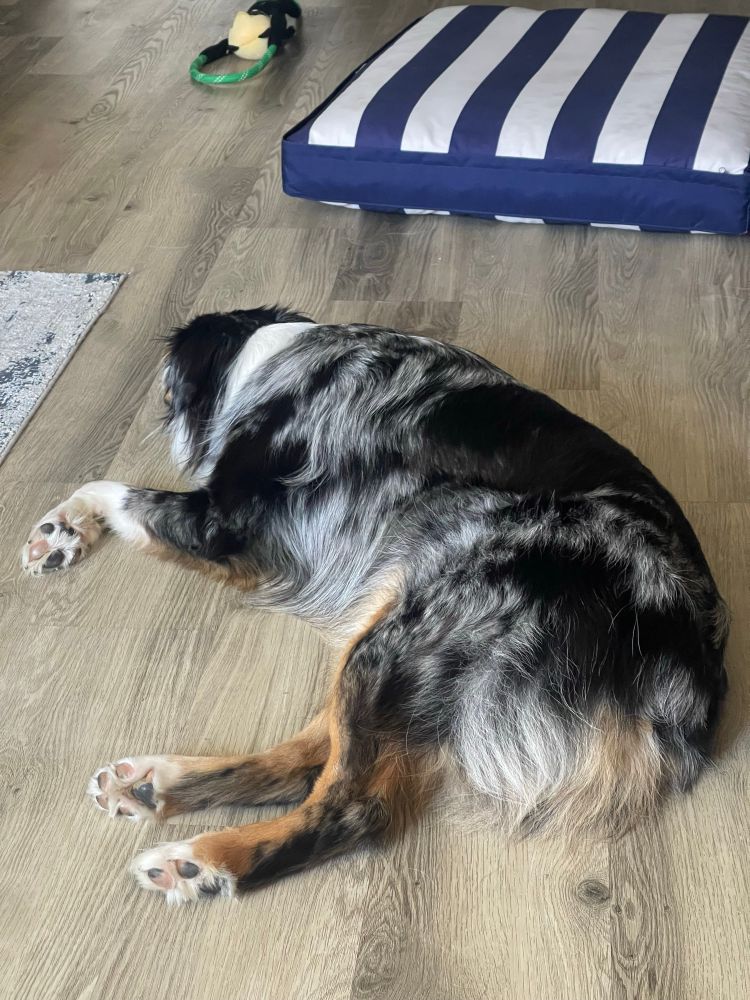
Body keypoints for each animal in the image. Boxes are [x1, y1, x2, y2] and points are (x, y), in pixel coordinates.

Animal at [21, 308, 728, 904]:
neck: (276, 354)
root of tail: (685, 673)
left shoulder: (223, 524)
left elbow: (110, 488)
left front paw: (65, 524)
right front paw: (64, 534)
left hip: (405, 635)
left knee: (349, 806)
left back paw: (203, 862)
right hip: (388, 629)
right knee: (306, 760)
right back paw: (156, 783)